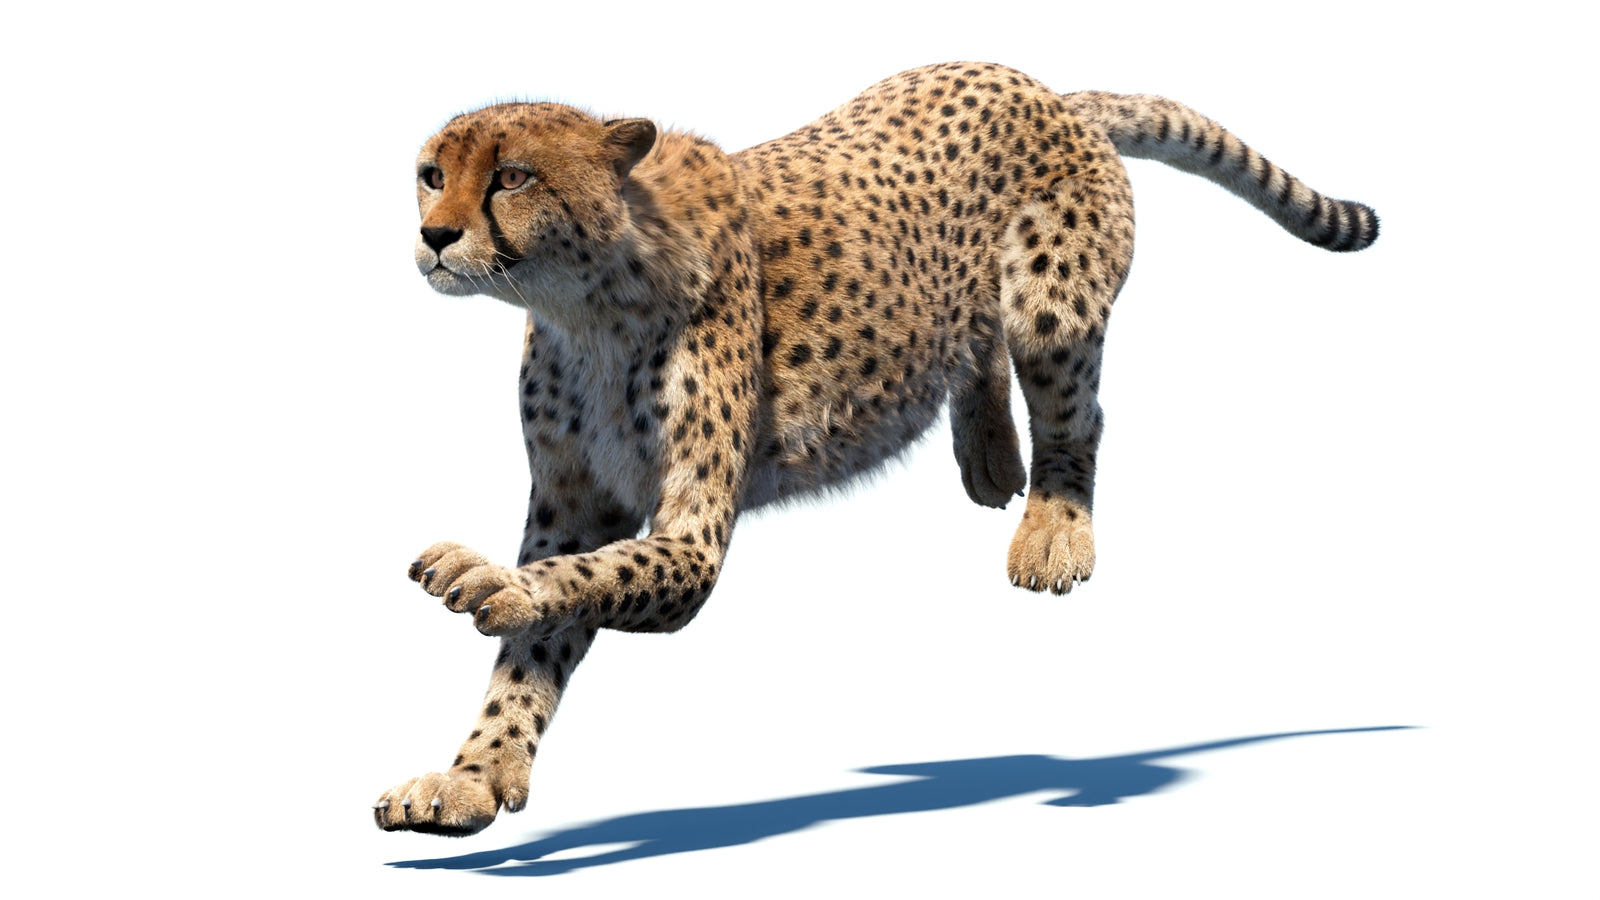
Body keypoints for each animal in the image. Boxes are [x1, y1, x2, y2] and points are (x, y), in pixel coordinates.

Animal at [373, 61, 1378, 835]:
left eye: (511, 177)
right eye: (430, 172)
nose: (433, 235)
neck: (583, 301)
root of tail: (1037, 83)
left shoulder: (690, 537)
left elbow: (575, 584)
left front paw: (485, 581)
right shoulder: (576, 500)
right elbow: (531, 656)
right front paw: (475, 772)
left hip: (1053, 305)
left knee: (1077, 415)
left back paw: (1052, 526)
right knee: (975, 342)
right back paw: (990, 458)